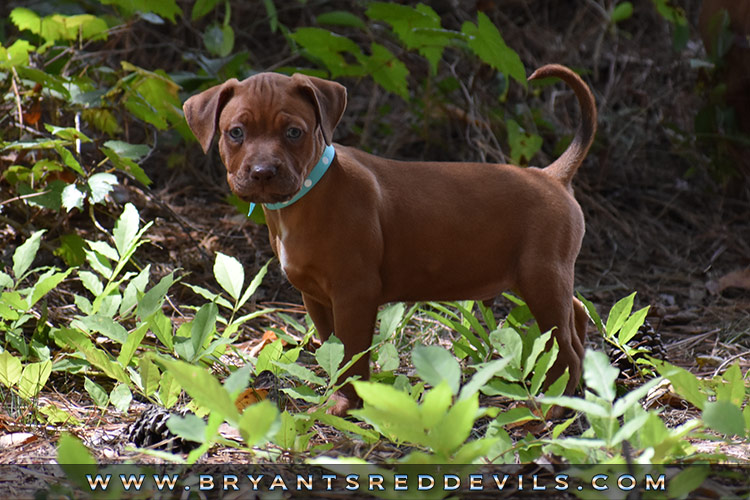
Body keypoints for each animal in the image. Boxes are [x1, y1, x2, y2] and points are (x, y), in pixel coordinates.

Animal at [187, 64, 600, 416]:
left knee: (565, 348)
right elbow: (334, 349)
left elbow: (352, 355)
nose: (263, 172)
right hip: (546, 278)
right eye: (236, 133)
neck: (307, 194)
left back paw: (554, 407)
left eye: (294, 132)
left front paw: (345, 406)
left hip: (540, 278)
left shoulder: (355, 292)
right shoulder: (316, 297)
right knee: (576, 318)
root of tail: (550, 175)